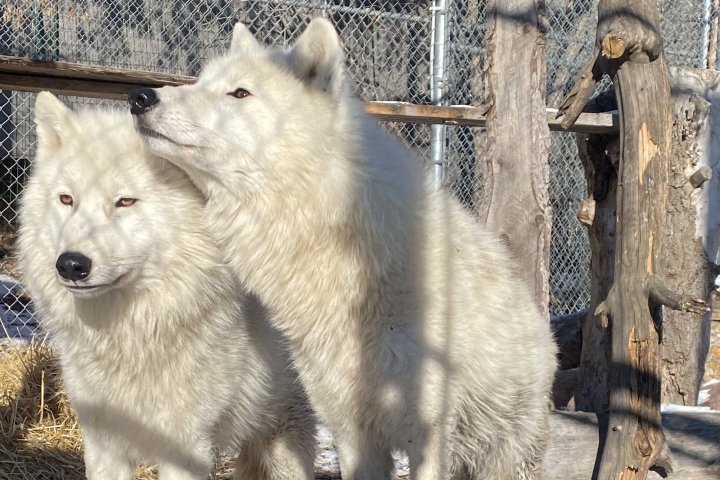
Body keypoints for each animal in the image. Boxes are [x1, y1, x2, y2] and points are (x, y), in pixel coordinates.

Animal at [17, 92, 316, 480]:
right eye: (66, 199)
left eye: (125, 201)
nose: (71, 264)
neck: (131, 338)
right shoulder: (103, 443)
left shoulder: (186, 447)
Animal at [131, 18, 558, 480]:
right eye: (202, 81)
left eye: (239, 93)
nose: (140, 97)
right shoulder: (350, 429)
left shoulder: (429, 434)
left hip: (508, 455)